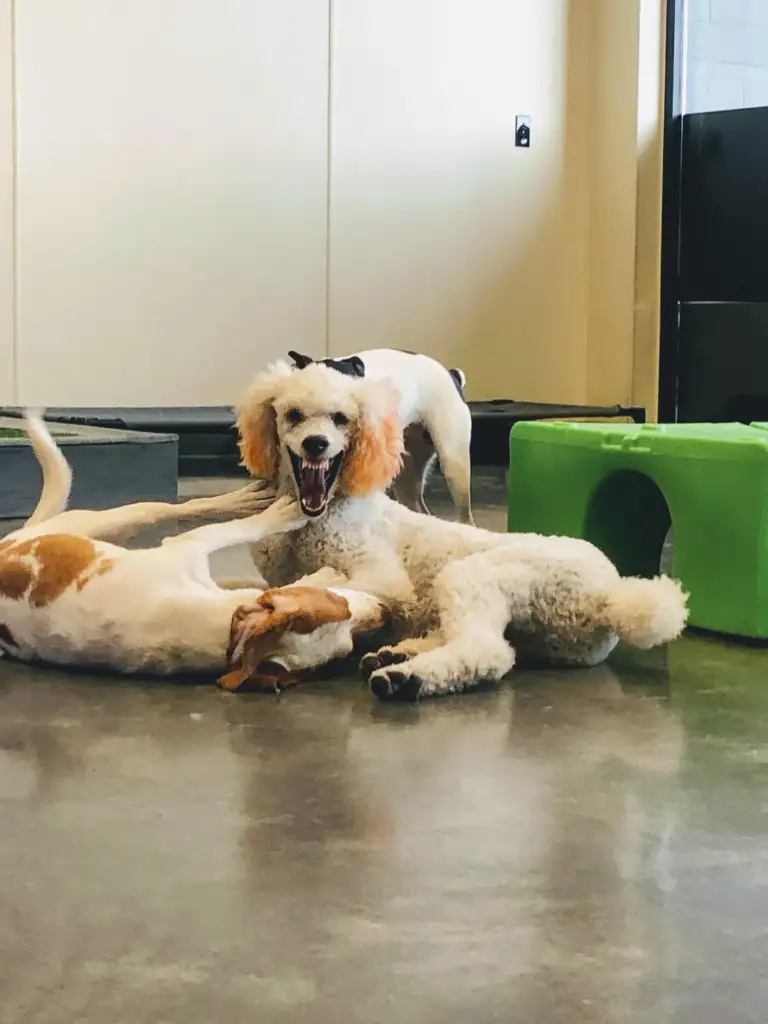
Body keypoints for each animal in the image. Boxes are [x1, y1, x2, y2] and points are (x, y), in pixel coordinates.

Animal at [0, 409, 387, 688]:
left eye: (349, 643)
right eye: (338, 606)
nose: (384, 612)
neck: (224, 629)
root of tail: (12, 538)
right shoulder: (189, 545)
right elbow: (241, 528)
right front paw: (289, 523)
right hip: (108, 519)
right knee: (173, 508)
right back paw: (239, 500)